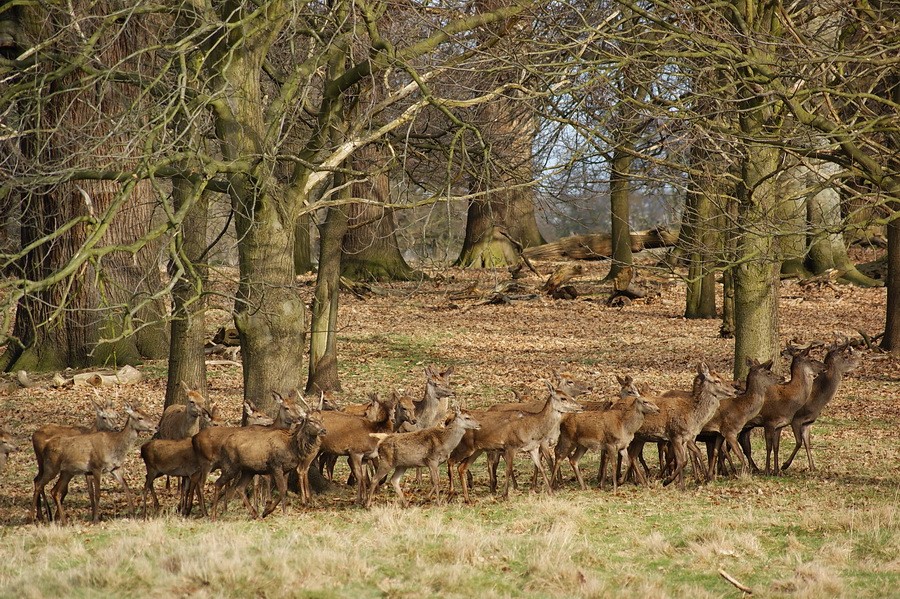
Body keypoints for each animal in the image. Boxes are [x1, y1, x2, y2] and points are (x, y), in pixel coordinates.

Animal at [31, 393, 120, 522]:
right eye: (104, 417)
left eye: (116, 415)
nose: (116, 427)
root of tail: (33, 435)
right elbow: (90, 490)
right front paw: (94, 515)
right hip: (43, 461)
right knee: (39, 481)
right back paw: (44, 514)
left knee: (36, 479)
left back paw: (44, 515)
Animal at [449, 382, 583, 503]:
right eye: (563, 398)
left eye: (569, 395)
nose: (581, 406)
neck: (531, 427)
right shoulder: (510, 446)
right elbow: (508, 469)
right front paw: (505, 495)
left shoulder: (533, 448)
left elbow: (541, 467)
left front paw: (550, 491)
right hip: (464, 446)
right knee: (451, 460)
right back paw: (452, 494)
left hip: (477, 450)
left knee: (462, 467)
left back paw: (467, 499)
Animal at [738, 345, 825, 475]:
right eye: (811, 359)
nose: (825, 367)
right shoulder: (769, 421)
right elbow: (769, 446)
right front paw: (769, 470)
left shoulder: (780, 425)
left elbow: (776, 446)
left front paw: (777, 470)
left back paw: (752, 468)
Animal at [781, 343, 860, 472]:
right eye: (846, 356)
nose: (858, 361)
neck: (818, 401)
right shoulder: (796, 419)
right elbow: (799, 442)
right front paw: (785, 464)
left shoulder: (807, 422)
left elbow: (808, 443)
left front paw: (813, 467)